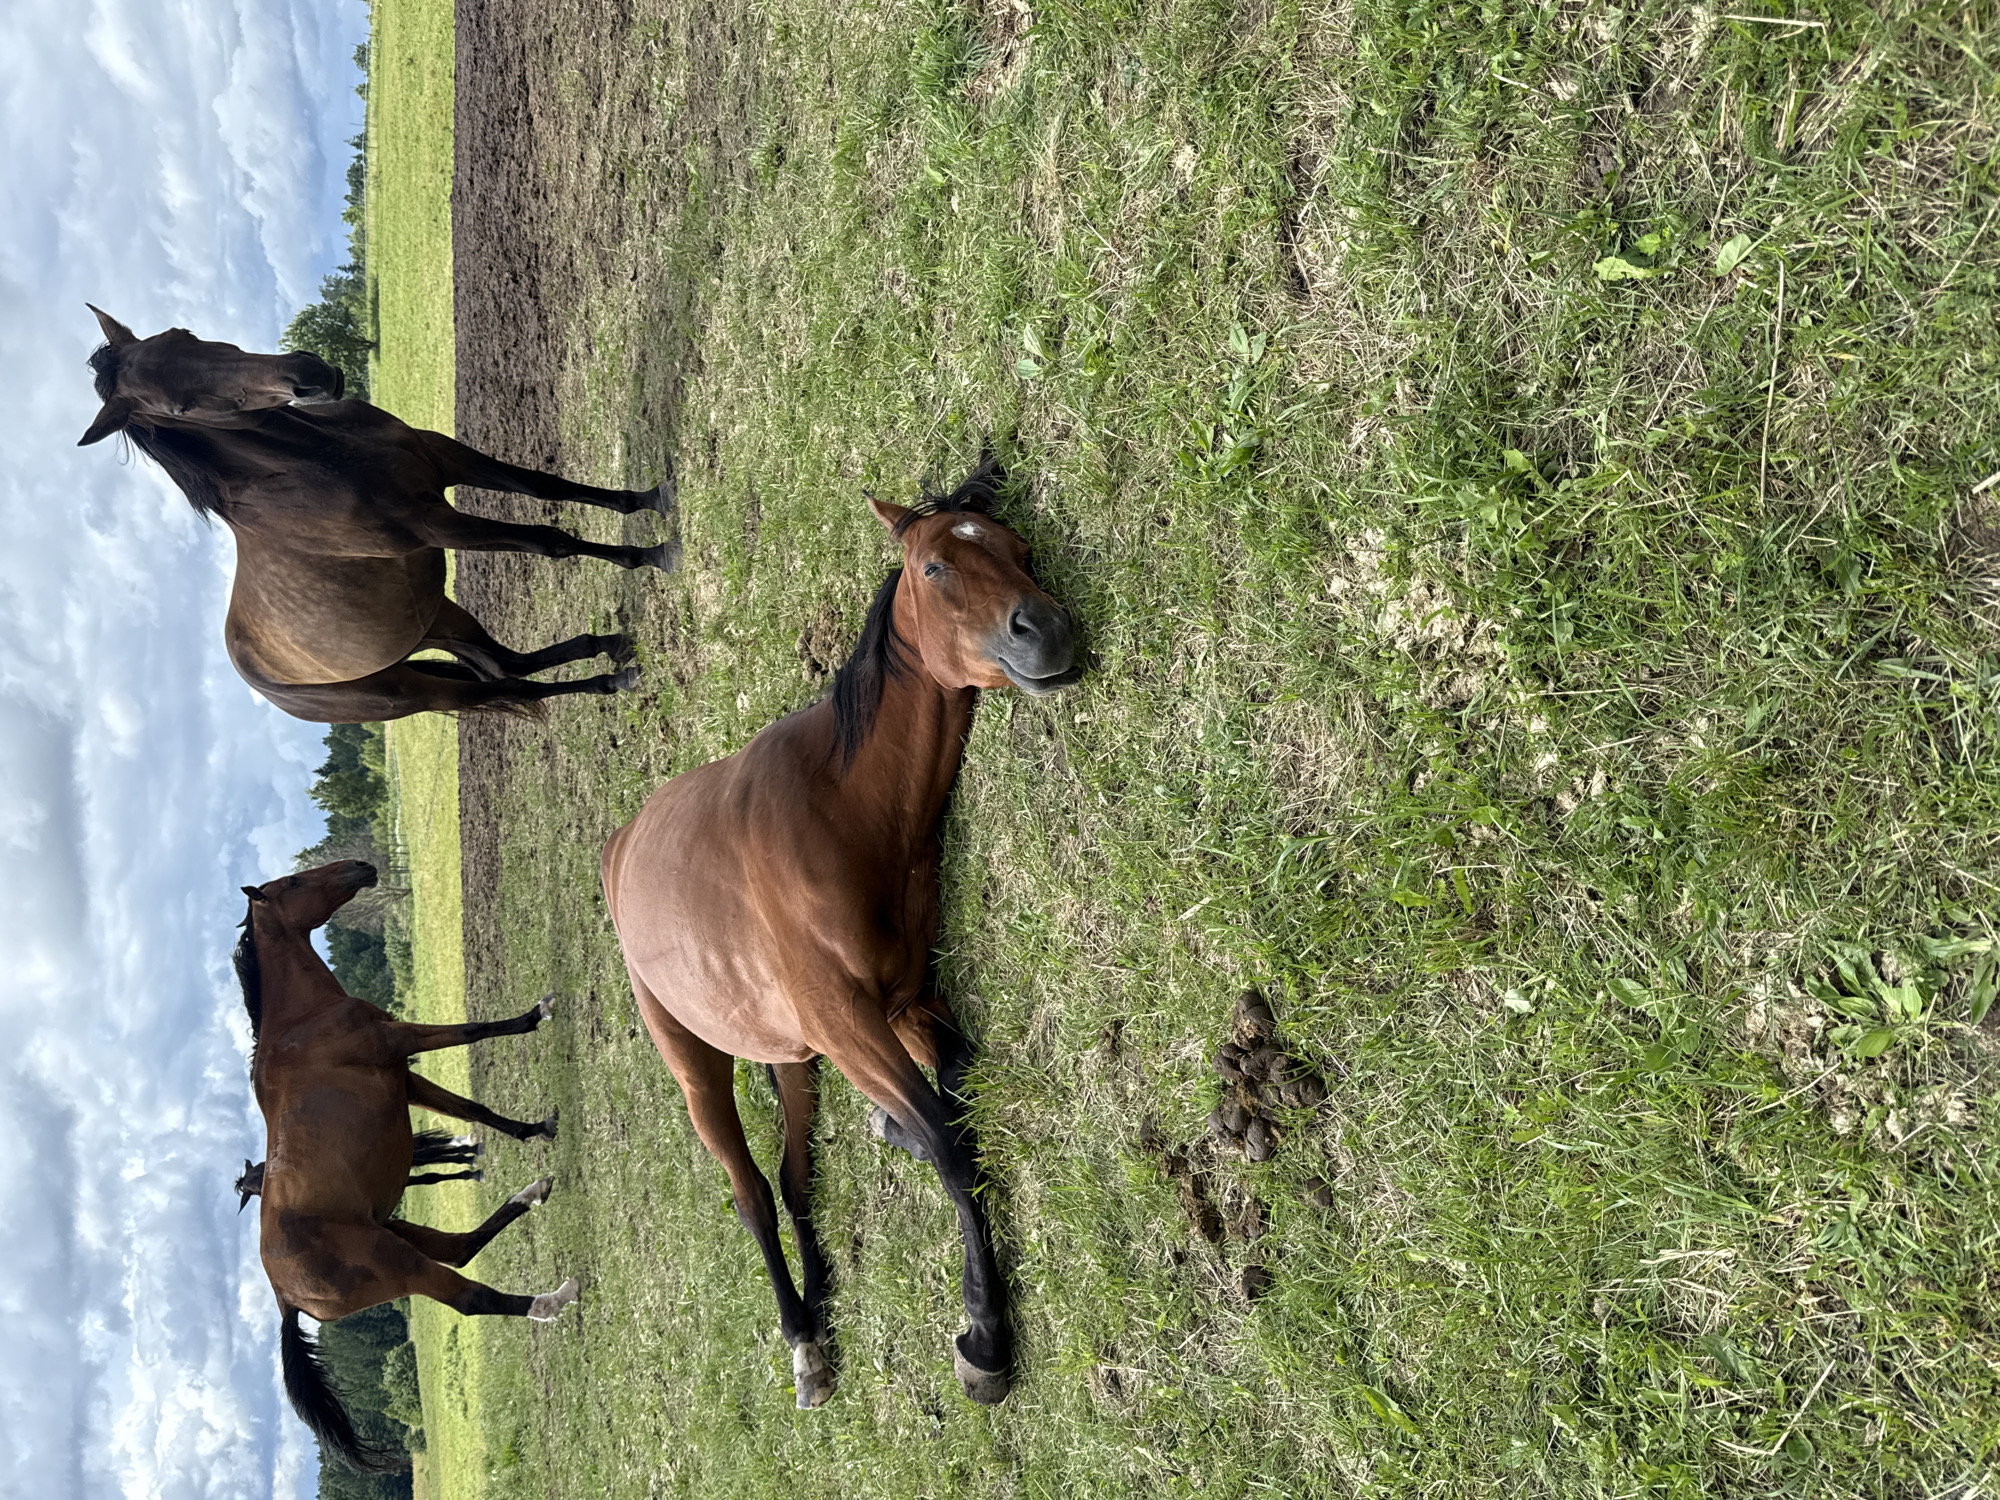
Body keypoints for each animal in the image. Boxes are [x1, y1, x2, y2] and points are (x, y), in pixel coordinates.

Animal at [76, 305, 675, 723]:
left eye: (184, 335)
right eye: (179, 407)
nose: (308, 374)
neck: (321, 460)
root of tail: (262, 683)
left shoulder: (445, 457)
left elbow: (546, 485)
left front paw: (649, 499)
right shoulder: (437, 524)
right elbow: (552, 541)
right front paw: (652, 553)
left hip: (435, 619)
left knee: (506, 665)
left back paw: (611, 650)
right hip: (410, 691)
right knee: (506, 684)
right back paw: (614, 678)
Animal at [600, 463, 1077, 1409]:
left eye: (1016, 546)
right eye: (936, 566)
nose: (1045, 630)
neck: (838, 811)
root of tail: (619, 845)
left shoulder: (903, 999)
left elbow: (955, 1098)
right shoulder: (854, 1024)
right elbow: (948, 1143)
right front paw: (985, 1335)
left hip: (792, 1053)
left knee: (792, 1178)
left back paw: (820, 1299)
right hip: (696, 1064)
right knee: (750, 1191)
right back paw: (800, 1340)